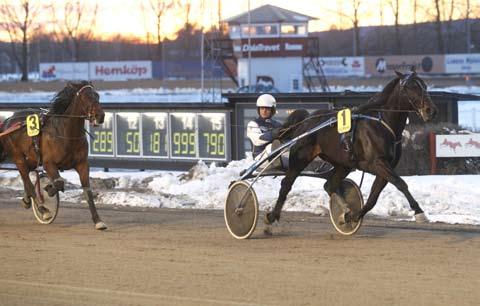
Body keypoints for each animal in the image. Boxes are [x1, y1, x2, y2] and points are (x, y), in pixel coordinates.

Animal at [0, 81, 107, 230]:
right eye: (85, 97)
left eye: (97, 96)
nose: (100, 116)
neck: (66, 133)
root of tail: (8, 121)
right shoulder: (49, 163)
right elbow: (59, 182)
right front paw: (49, 189)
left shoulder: (82, 164)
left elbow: (88, 192)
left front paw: (98, 221)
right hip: (18, 157)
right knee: (29, 182)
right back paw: (43, 210)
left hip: (32, 158)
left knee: (26, 177)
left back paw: (27, 200)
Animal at [266, 70, 438, 227]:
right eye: (410, 87)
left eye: (424, 85)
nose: (431, 110)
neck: (383, 124)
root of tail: (307, 120)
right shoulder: (378, 163)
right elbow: (401, 183)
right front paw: (419, 212)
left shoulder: (385, 168)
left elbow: (373, 198)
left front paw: (352, 216)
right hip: (301, 157)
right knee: (286, 184)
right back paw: (272, 216)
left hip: (343, 164)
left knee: (329, 185)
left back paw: (345, 210)